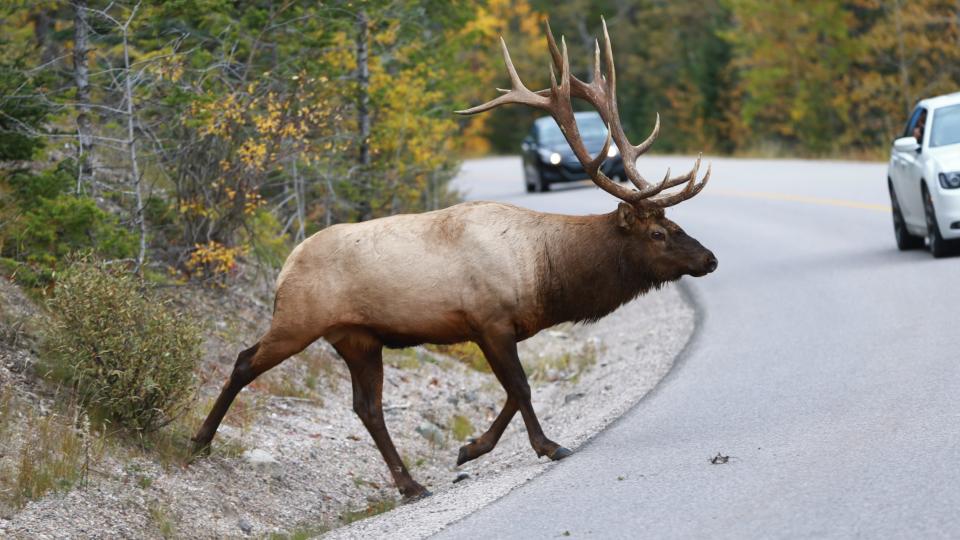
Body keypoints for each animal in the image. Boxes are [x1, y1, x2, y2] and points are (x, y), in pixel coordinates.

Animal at [191, 20, 716, 502]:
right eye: (657, 232)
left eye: (673, 223)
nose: (709, 259)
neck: (546, 274)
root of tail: (286, 264)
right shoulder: (489, 319)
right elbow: (521, 388)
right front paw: (547, 445)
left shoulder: (497, 328)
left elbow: (511, 392)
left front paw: (470, 448)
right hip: (299, 319)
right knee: (244, 361)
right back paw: (200, 441)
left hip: (357, 338)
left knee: (367, 406)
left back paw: (410, 484)